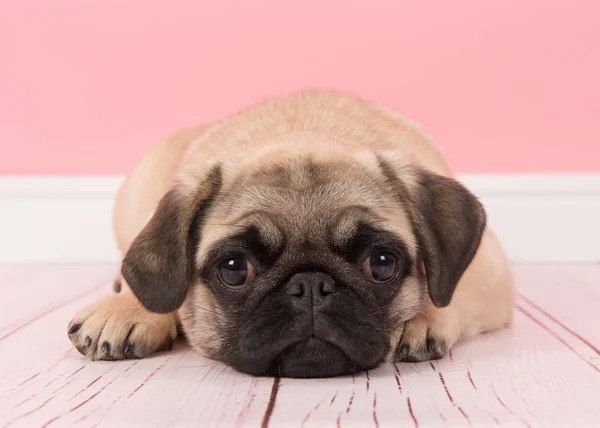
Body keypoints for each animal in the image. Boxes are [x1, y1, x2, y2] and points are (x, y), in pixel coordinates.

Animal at [67, 88, 516, 376]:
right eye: (234, 269)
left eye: (382, 264)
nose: (311, 285)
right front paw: (128, 308)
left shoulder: (489, 272)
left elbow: (449, 290)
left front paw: (423, 317)